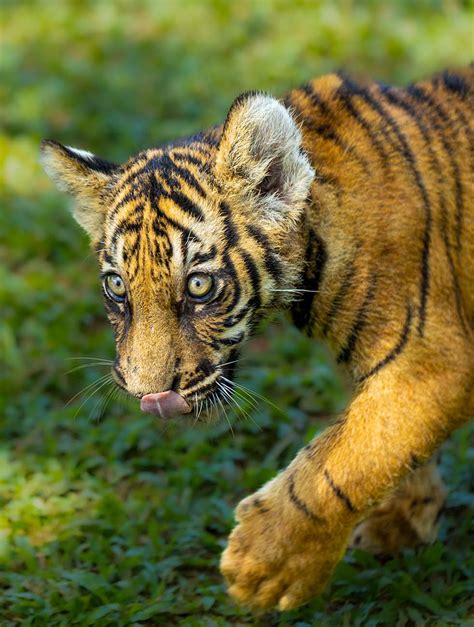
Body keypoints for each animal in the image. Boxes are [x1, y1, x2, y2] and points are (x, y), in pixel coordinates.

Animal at [41, 66, 474, 612]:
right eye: (117, 286)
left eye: (198, 286)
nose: (149, 396)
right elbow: (389, 443)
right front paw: (406, 519)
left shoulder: (433, 363)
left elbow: (352, 452)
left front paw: (267, 565)